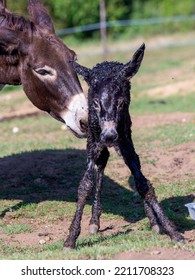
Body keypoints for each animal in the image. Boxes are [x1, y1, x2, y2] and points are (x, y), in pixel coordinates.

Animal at [64, 42, 184, 248]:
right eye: (95, 104)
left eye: (121, 103)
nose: (109, 136)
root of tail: (108, 62)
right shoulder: (94, 141)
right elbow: (85, 185)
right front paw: (71, 239)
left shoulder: (125, 140)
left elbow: (143, 184)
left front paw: (171, 230)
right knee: (102, 163)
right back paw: (94, 222)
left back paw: (153, 221)